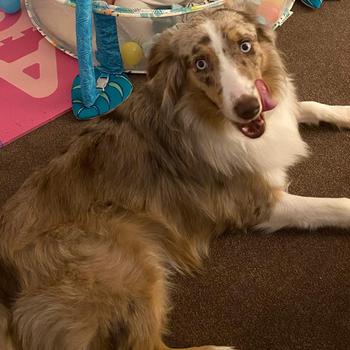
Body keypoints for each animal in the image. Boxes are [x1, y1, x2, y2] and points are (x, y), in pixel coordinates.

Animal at [0, 2, 350, 350]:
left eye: (245, 46)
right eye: (200, 63)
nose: (249, 109)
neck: (210, 118)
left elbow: (306, 105)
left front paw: (342, 113)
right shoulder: (257, 203)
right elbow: (332, 206)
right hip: (126, 264)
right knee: (144, 345)